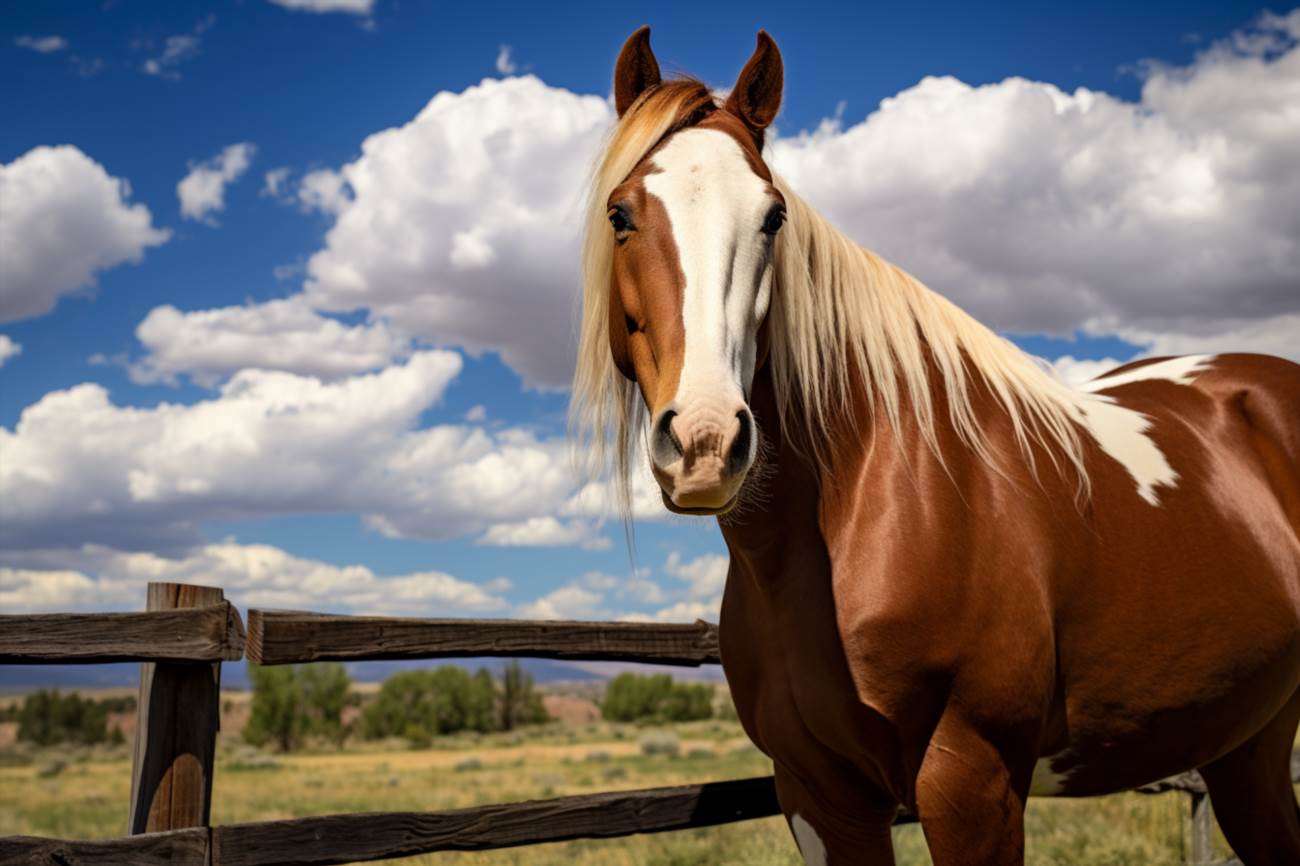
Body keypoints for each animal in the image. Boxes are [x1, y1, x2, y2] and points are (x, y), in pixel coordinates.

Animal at [574, 26, 1300, 863]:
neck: (873, 505)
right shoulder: (819, 796)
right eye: (621, 215)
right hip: (1248, 746)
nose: (705, 438)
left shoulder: (972, 784)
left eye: (773, 217)